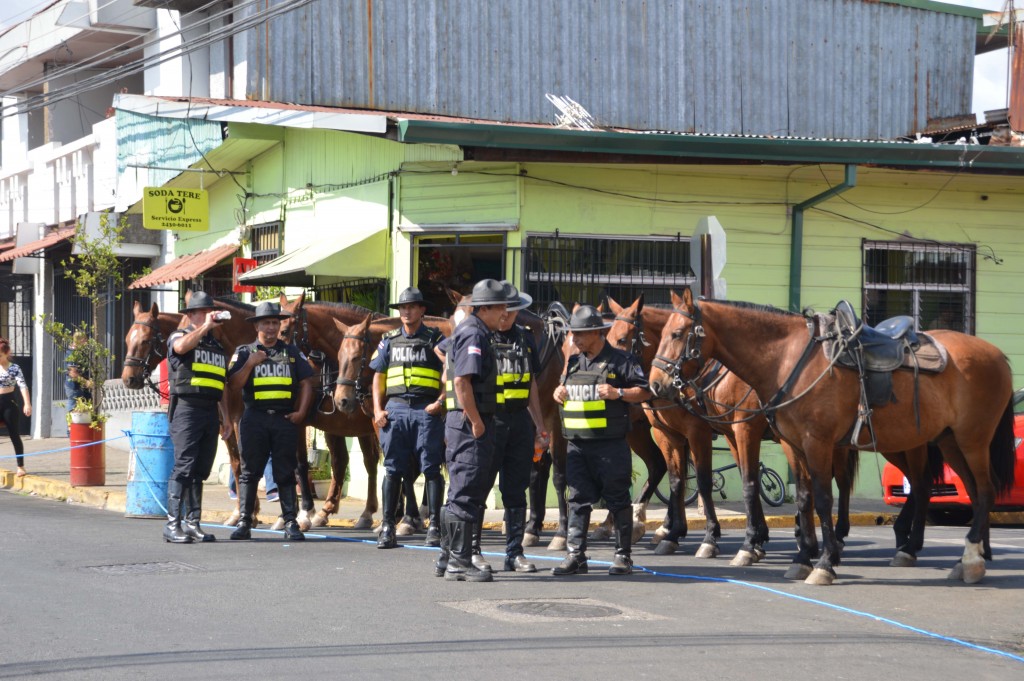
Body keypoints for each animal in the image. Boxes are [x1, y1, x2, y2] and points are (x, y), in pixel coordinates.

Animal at [647, 288, 1015, 585]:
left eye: (677, 334)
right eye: (660, 334)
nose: (656, 384)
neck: (787, 360)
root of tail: (997, 355)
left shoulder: (807, 441)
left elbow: (821, 499)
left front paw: (821, 562)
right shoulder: (791, 444)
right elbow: (803, 497)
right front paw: (802, 555)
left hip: (968, 440)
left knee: (981, 490)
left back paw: (968, 559)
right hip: (948, 441)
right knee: (963, 490)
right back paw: (961, 553)